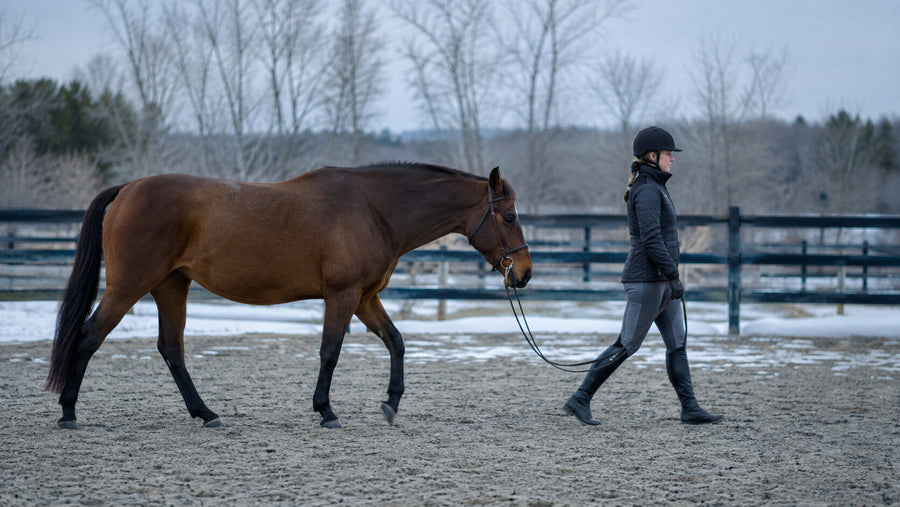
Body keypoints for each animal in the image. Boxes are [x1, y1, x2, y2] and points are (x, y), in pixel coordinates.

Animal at [45, 162, 532, 429]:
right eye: (508, 217)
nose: (524, 274)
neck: (374, 209)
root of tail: (127, 190)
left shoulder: (365, 298)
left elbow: (396, 342)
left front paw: (391, 404)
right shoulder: (342, 296)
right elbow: (330, 352)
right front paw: (326, 411)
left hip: (171, 286)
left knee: (172, 349)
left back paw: (205, 413)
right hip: (129, 285)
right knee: (88, 338)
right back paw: (68, 413)